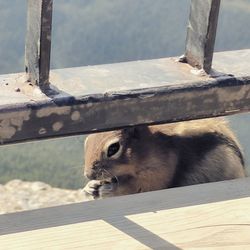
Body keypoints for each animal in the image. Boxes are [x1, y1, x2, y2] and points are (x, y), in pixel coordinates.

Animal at [82, 118, 246, 200]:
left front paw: (109, 190)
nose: (88, 175)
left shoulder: (159, 171)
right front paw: (91, 186)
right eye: (87, 141)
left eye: (113, 148)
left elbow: (140, 187)